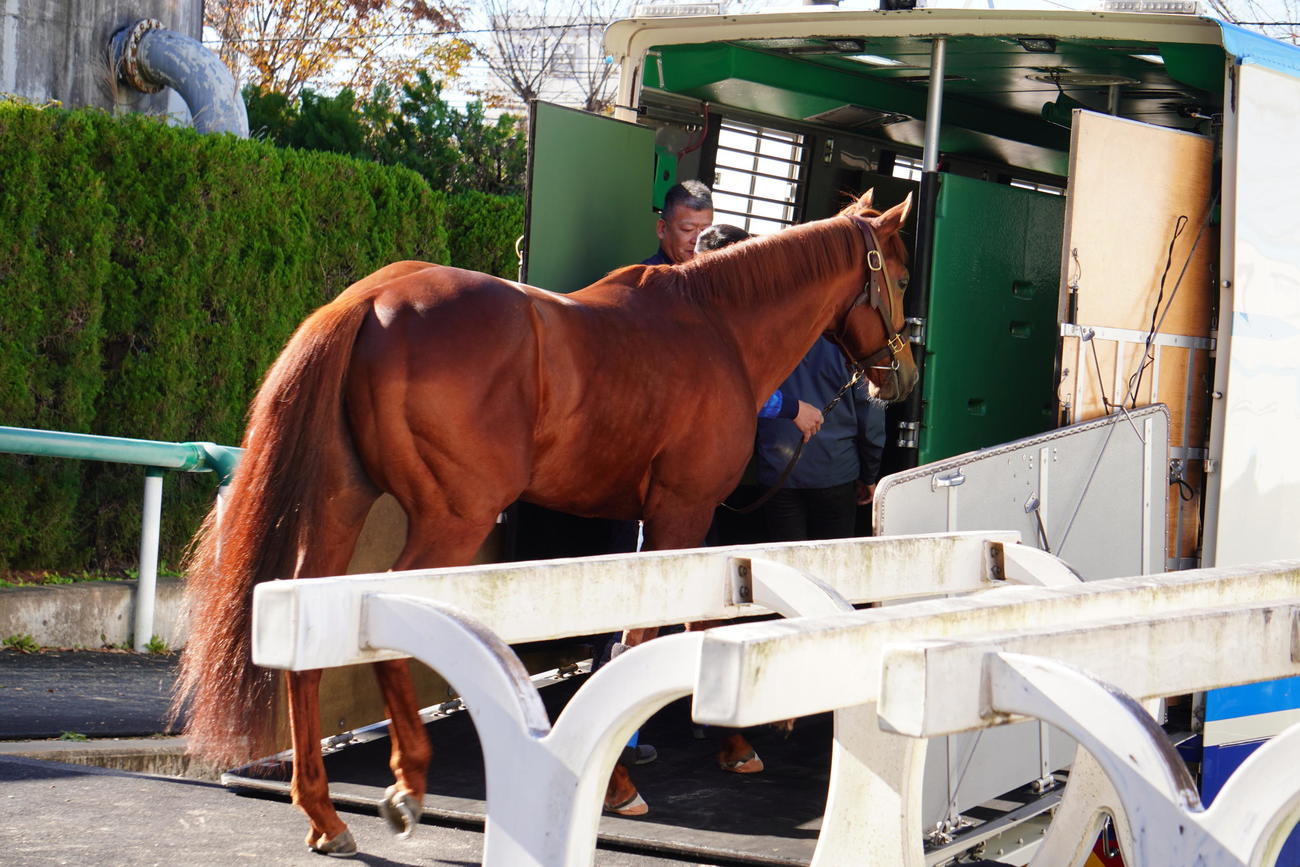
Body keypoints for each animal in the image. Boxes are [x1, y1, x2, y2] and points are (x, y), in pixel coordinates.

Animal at [172, 189, 916, 855]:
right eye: (903, 277)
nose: (903, 378)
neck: (717, 327)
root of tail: (372, 300)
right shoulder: (682, 511)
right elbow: (650, 632)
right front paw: (623, 781)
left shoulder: (672, 523)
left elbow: (684, 623)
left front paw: (730, 745)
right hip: (453, 519)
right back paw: (407, 779)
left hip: (340, 505)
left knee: (305, 633)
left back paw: (323, 811)